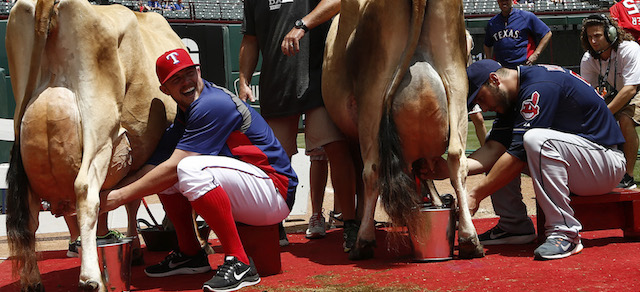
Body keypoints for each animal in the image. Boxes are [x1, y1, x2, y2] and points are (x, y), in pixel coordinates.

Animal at [5, 0, 182, 288]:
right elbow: (131, 199)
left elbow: (124, 200)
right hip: (99, 126)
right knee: (86, 191)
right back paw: (91, 279)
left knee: (30, 214)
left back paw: (33, 281)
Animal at [324, 0, 484, 260]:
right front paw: (434, 202)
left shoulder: (351, 135)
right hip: (456, 82)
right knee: (456, 158)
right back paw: (469, 240)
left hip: (372, 96)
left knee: (372, 170)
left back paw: (363, 242)